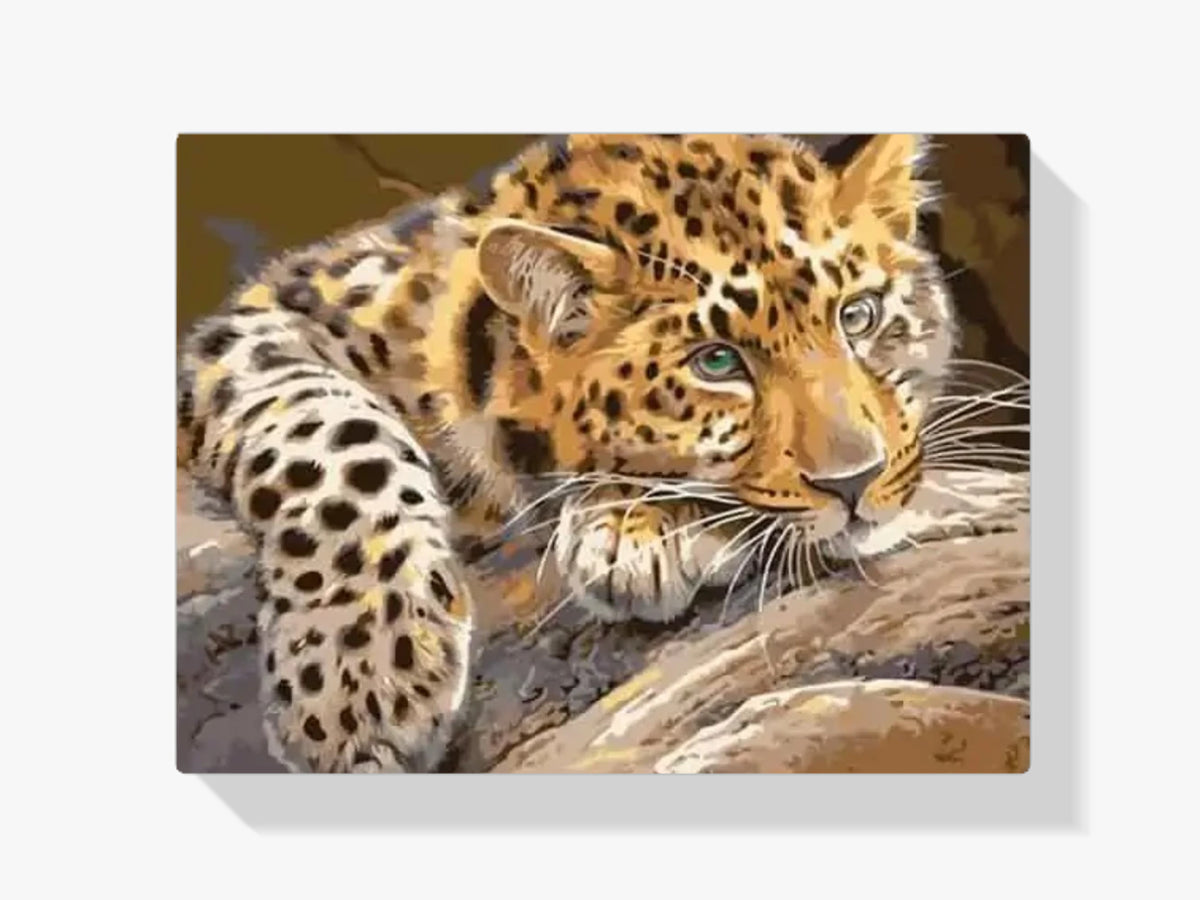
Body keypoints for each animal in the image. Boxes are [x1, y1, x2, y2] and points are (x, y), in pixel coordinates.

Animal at [176, 133, 957, 773]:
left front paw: (634, 527)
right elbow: (334, 434)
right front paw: (361, 675)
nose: (858, 480)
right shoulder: (262, 324)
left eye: (859, 316)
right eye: (715, 362)